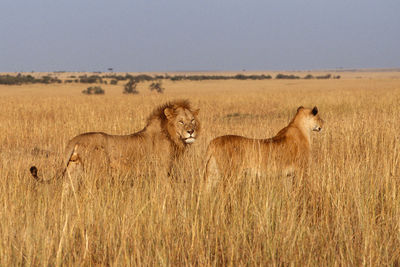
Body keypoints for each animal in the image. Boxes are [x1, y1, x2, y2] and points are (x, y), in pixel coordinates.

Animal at [28, 99, 200, 185]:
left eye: (192, 120)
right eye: (181, 122)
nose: (191, 131)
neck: (170, 135)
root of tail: (75, 138)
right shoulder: (162, 170)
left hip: (73, 169)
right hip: (94, 170)